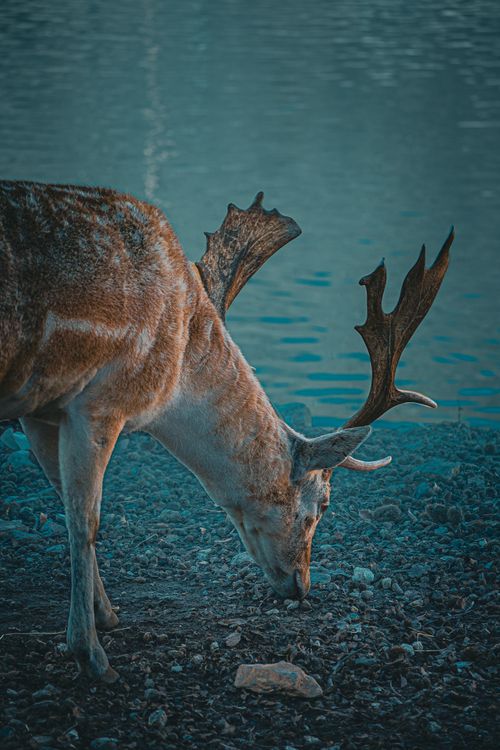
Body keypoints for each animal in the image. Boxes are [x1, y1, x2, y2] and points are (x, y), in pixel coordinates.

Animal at [0, 180, 454, 682]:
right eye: (323, 504)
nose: (302, 586)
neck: (174, 376)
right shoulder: (98, 404)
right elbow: (86, 521)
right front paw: (92, 655)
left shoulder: (43, 412)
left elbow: (67, 506)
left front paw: (108, 615)